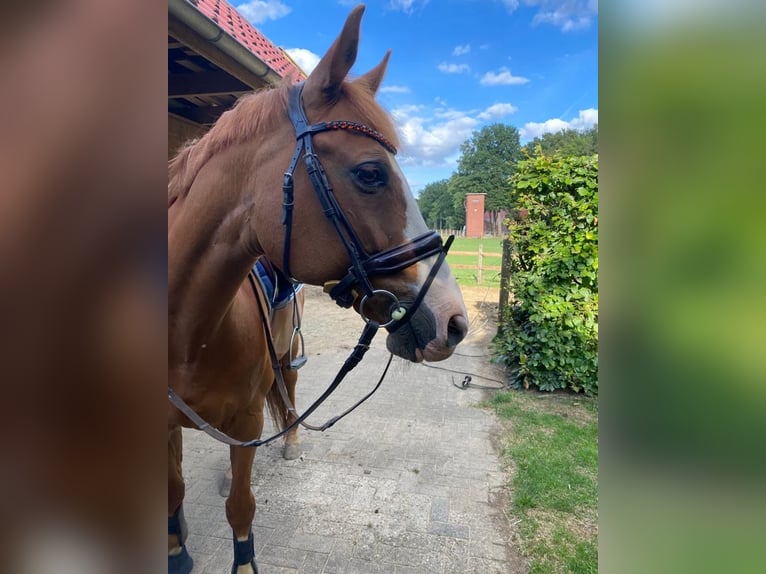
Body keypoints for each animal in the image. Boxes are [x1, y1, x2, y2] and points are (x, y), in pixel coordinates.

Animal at [168, 5, 468, 574]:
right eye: (371, 173)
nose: (454, 321)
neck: (184, 338)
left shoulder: (246, 419)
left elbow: (242, 510)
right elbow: (173, 506)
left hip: (285, 351)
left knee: (287, 391)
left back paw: (288, 441)